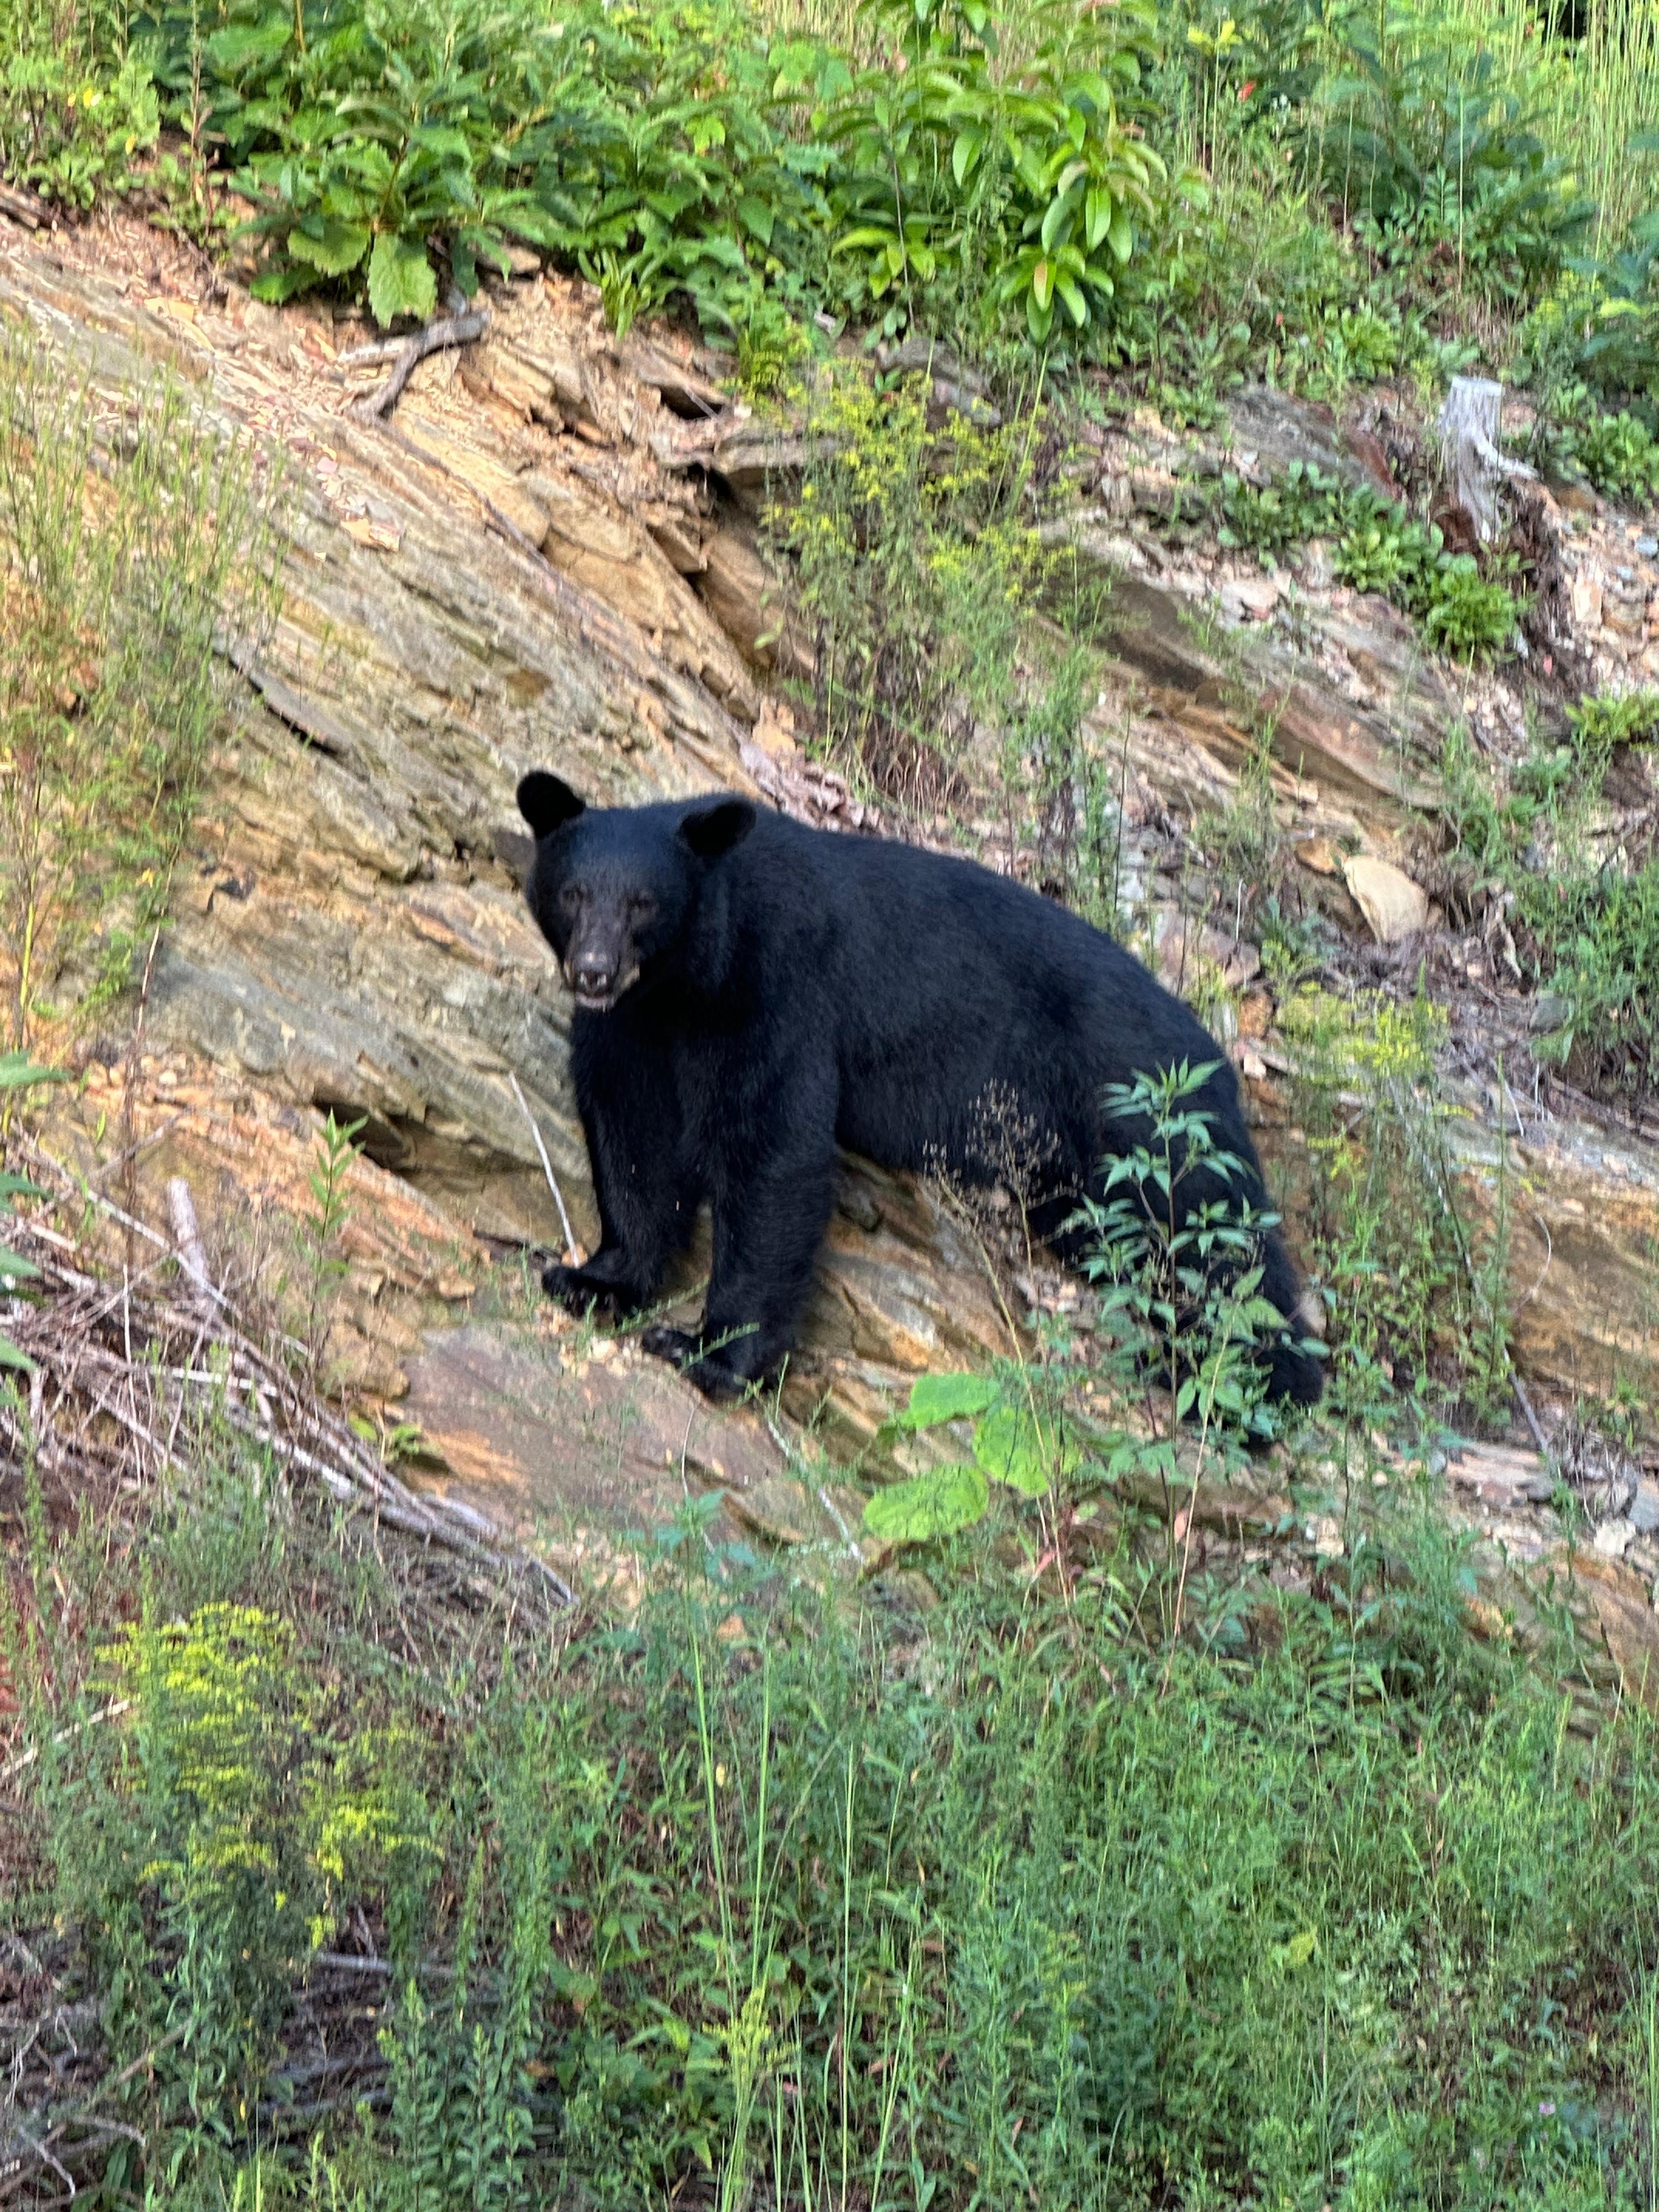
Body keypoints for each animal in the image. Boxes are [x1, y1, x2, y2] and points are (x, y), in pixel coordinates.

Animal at [516, 769, 1323, 1408]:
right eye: (574, 893)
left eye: (644, 903)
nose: (594, 972)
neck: (681, 989)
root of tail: (1215, 1054)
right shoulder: (632, 1029)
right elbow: (633, 1138)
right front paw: (597, 1280)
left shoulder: (776, 991)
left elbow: (774, 1153)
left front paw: (714, 1354)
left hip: (1146, 1120)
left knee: (1216, 1247)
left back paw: (1253, 1382)